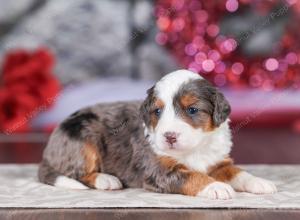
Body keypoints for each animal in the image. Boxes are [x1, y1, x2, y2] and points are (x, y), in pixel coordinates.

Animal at [38, 69, 278, 199]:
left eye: (192, 110)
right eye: (157, 111)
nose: (169, 137)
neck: (195, 149)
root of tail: (48, 151)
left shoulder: (218, 161)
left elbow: (238, 172)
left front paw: (260, 182)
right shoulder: (159, 169)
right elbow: (191, 175)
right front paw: (216, 186)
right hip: (83, 139)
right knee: (77, 173)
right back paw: (106, 179)